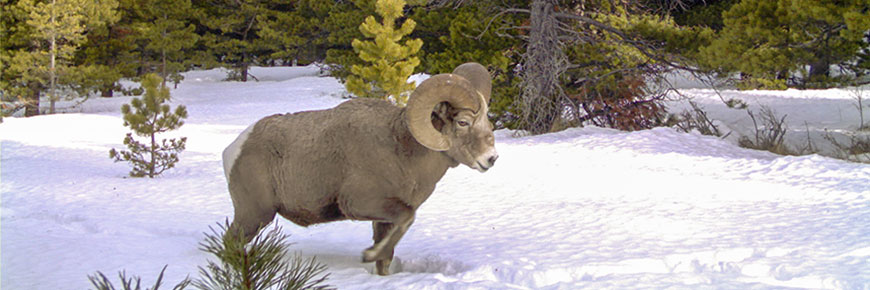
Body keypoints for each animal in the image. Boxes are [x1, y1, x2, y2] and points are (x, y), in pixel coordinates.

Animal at [221, 62, 500, 276]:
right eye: (463, 122)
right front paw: (367, 255)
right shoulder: (360, 203)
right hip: (255, 215)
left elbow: (387, 255)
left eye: (487, 121)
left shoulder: (384, 219)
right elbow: (407, 218)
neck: (403, 154)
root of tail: (234, 149)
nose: (491, 158)